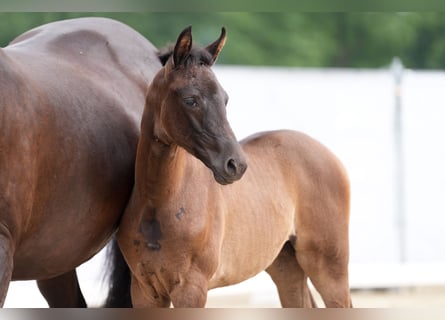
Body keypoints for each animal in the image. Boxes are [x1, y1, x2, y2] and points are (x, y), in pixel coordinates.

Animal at [116, 25, 352, 308]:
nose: (235, 164)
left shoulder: (191, 289)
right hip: (286, 265)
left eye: (225, 99)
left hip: (329, 265)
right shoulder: (145, 290)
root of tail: (330, 156)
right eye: (190, 100)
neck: (159, 201)